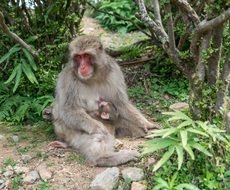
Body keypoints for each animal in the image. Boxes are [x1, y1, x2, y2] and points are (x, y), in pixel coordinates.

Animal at [51, 35, 154, 166]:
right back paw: (106, 157)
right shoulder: (67, 78)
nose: (82, 67)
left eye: (86, 55)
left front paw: (146, 123)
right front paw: (99, 128)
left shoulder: (114, 72)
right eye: (78, 57)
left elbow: (120, 103)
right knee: (98, 137)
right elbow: (69, 110)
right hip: (69, 132)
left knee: (127, 124)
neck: (92, 77)